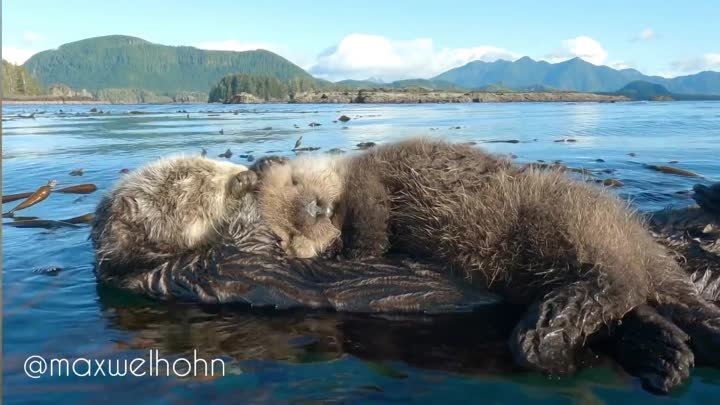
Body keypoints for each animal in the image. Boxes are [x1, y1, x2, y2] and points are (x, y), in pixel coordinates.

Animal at [258, 137, 720, 386]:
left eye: (296, 182)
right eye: (291, 234)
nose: (315, 209)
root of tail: (645, 245)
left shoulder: (367, 184)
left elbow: (370, 226)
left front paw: (351, 249)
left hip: (570, 224)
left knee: (620, 281)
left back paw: (543, 335)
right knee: (635, 304)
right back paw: (664, 352)